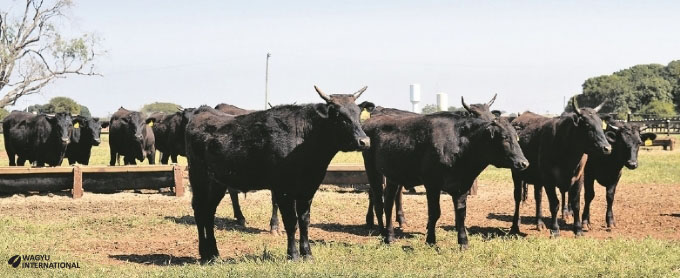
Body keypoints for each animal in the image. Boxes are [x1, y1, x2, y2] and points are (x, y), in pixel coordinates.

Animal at [186, 86, 372, 262]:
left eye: (358, 113)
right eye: (338, 115)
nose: (364, 141)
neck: (304, 139)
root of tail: (202, 111)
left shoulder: (308, 188)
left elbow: (304, 221)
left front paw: (307, 254)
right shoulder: (283, 189)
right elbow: (291, 221)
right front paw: (293, 255)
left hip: (217, 183)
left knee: (209, 211)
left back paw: (213, 254)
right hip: (200, 178)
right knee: (200, 210)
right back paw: (204, 253)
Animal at [364, 97, 528, 248]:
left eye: (516, 137)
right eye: (504, 138)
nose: (523, 163)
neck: (459, 145)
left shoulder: (463, 184)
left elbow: (461, 213)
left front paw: (463, 242)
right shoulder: (432, 184)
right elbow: (434, 213)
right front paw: (431, 240)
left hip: (393, 176)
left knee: (388, 203)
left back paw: (390, 236)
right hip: (373, 170)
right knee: (378, 201)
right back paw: (383, 234)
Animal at [510, 98, 612, 237]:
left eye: (601, 125)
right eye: (587, 125)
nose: (607, 148)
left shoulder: (579, 178)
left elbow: (575, 204)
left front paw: (578, 229)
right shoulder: (548, 179)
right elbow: (554, 204)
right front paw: (554, 229)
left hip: (538, 179)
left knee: (538, 197)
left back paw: (539, 223)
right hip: (516, 174)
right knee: (517, 197)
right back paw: (515, 226)